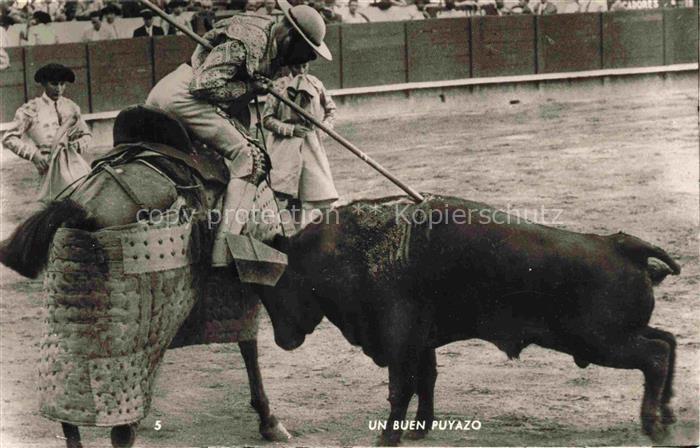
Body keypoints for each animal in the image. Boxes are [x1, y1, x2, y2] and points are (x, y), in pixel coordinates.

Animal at [0, 106, 290, 448]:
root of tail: (82, 209)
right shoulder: (246, 281)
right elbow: (250, 347)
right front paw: (269, 420)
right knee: (121, 430)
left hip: (68, 325)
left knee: (67, 409)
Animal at [258, 194, 680, 446]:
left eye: (276, 286)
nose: (283, 340)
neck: (351, 250)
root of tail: (618, 244)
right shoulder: (421, 342)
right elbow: (425, 382)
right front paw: (419, 429)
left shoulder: (399, 340)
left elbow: (400, 388)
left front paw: (388, 438)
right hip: (616, 336)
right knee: (668, 340)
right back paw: (668, 411)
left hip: (601, 341)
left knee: (656, 355)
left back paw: (654, 425)